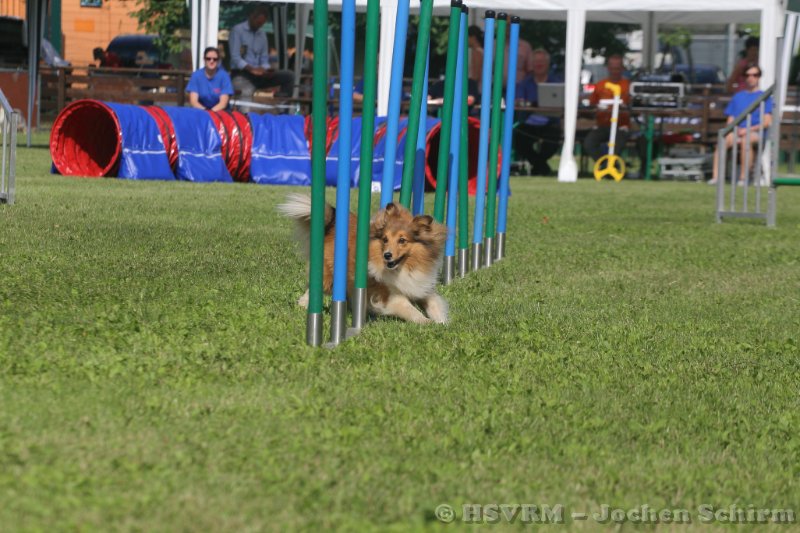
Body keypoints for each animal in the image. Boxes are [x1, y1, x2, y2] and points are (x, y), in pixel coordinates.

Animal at [278, 193, 449, 324]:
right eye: (385, 239)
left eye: (402, 240)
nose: (387, 255)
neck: (404, 268)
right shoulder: (388, 294)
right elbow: (408, 308)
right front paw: (426, 322)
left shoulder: (421, 286)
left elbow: (434, 302)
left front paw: (442, 322)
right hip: (328, 272)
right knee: (314, 286)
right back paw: (304, 303)